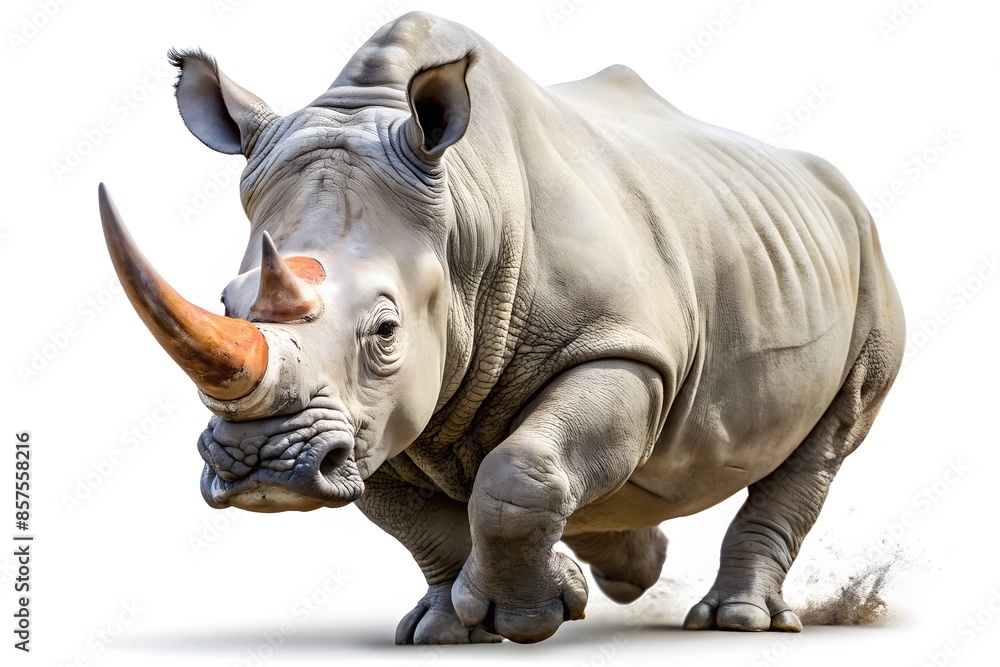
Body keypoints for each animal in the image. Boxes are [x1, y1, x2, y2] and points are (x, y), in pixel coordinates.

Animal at [98, 12, 904, 644]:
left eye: (385, 330)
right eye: (226, 302)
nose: (261, 463)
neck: (462, 217)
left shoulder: (621, 348)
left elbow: (518, 470)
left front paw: (529, 615)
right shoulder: (372, 416)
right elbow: (410, 517)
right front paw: (448, 627)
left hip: (866, 255)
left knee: (830, 436)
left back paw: (736, 621)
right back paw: (631, 565)